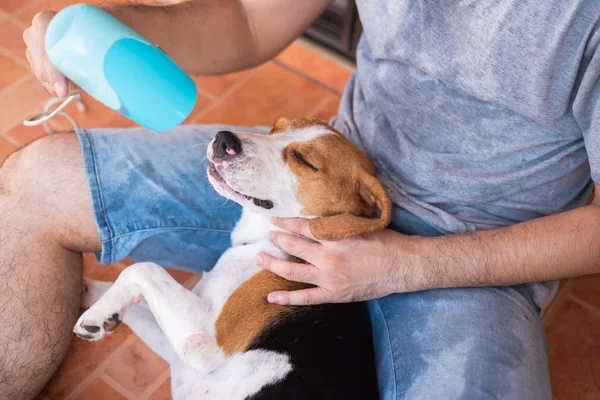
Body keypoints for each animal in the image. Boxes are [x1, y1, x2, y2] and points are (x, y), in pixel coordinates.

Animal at [74, 117, 394, 398]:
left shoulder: (205, 344)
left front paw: (98, 311)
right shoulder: (179, 353)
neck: (258, 239)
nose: (224, 140)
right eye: (274, 127)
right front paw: (98, 306)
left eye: (304, 160)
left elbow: (142, 269)